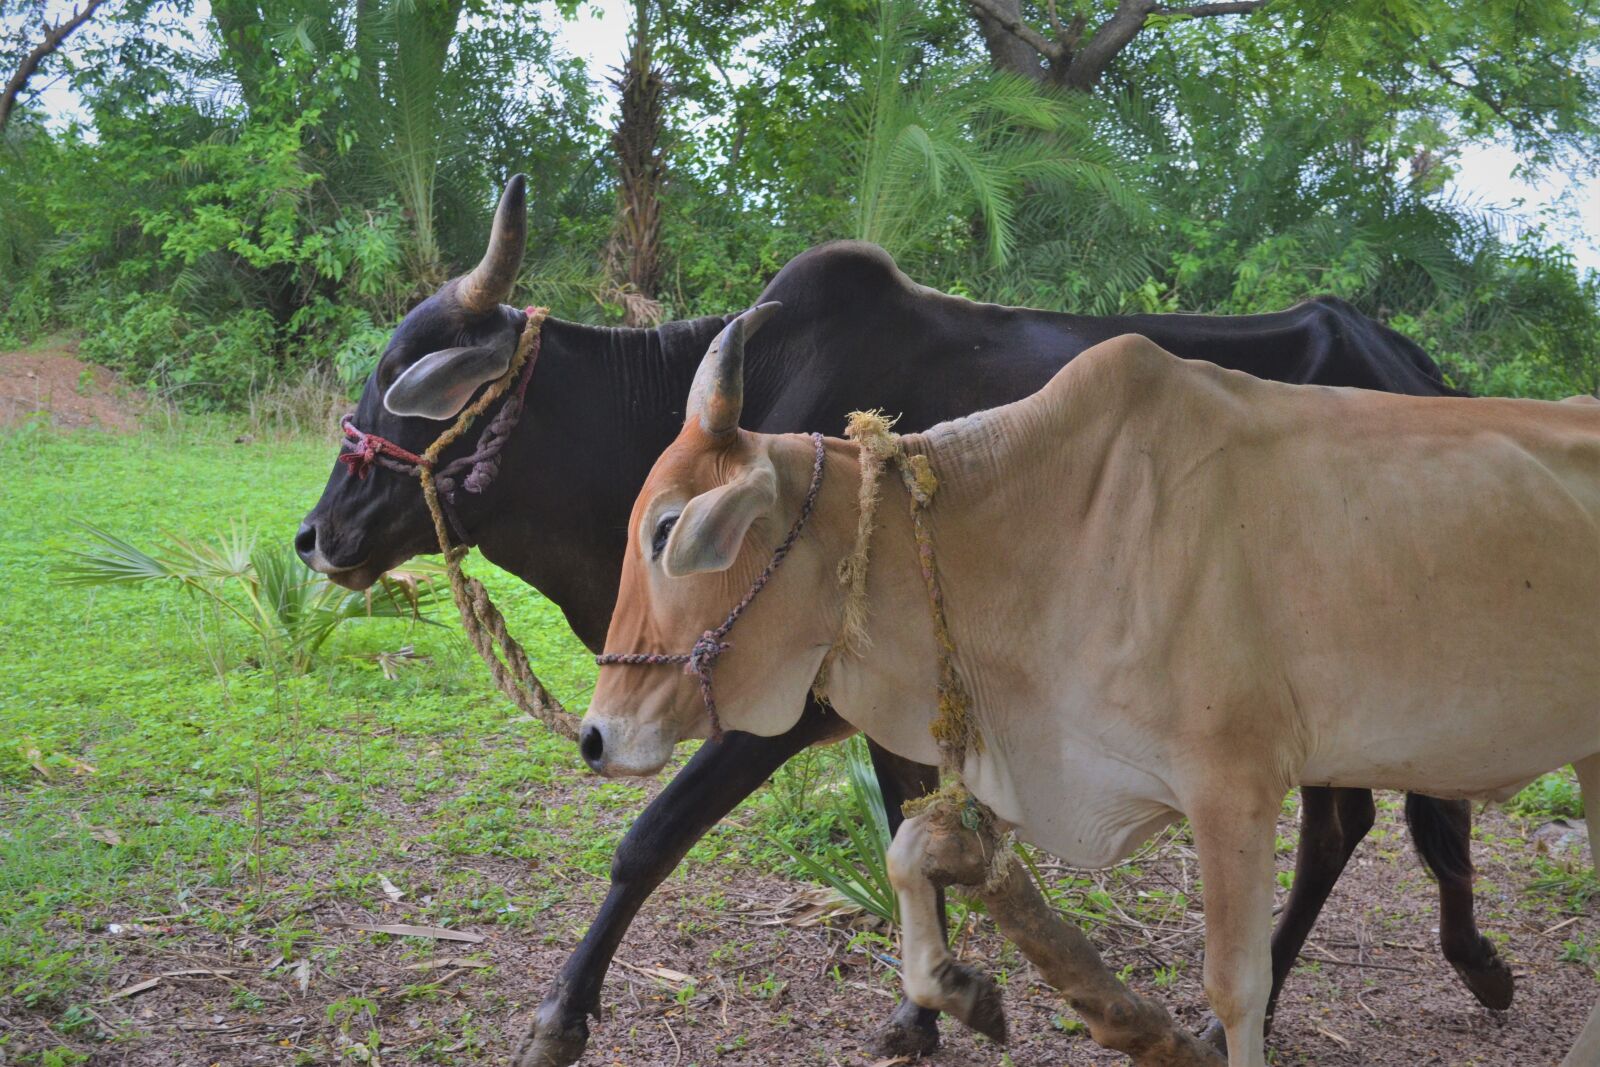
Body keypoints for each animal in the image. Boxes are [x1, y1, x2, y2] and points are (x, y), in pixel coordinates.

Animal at [581, 314, 1600, 1066]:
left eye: (667, 530)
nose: (597, 734)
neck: (1048, 524)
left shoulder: (1233, 786)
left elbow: (1237, 987)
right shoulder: (1027, 759)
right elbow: (909, 851)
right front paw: (971, 996)